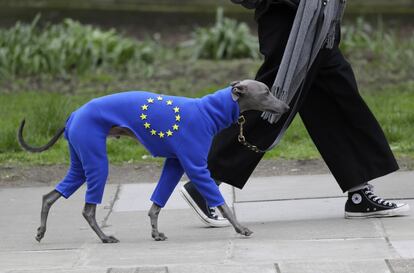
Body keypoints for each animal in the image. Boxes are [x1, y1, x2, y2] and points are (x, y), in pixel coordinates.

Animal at [17, 79, 290, 242]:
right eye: (266, 92)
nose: (287, 108)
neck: (208, 112)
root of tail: (73, 114)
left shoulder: (175, 163)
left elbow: (157, 202)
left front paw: (155, 232)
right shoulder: (195, 166)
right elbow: (220, 201)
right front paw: (240, 228)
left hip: (80, 161)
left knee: (49, 196)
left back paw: (41, 232)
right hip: (96, 160)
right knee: (87, 209)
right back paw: (104, 237)